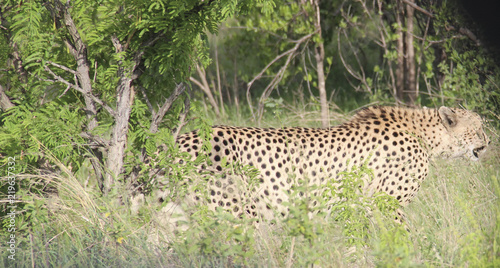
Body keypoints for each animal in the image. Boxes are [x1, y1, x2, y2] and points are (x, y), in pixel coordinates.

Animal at [163, 105, 488, 221]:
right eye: (479, 126)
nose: (489, 139)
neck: (426, 134)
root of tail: (180, 139)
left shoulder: (358, 205)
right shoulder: (387, 204)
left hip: (175, 216)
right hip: (238, 214)